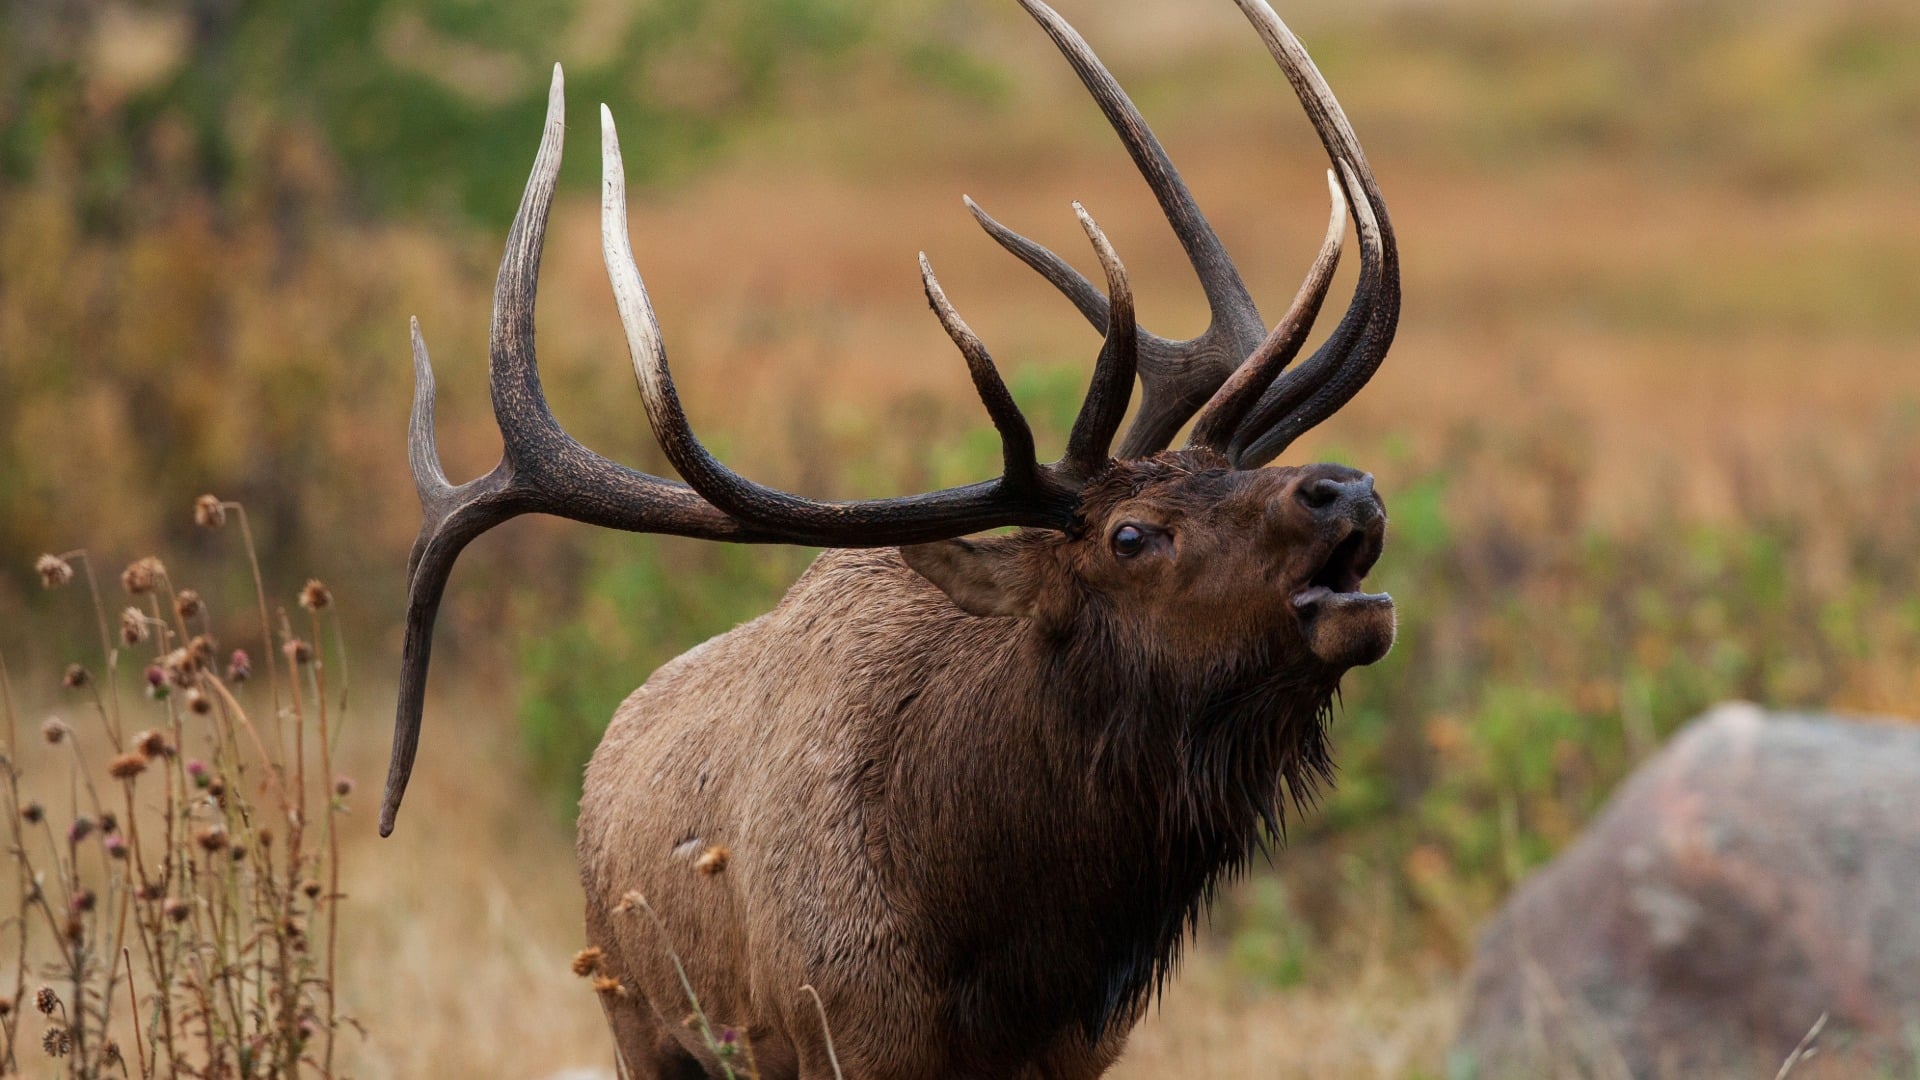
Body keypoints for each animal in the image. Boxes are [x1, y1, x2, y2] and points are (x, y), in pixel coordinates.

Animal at [379, 0, 1398, 1076]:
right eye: (1130, 536)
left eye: (1234, 471)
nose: (1345, 489)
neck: (1010, 939)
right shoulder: (847, 1031)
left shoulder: (1085, 1048)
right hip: (637, 1016)